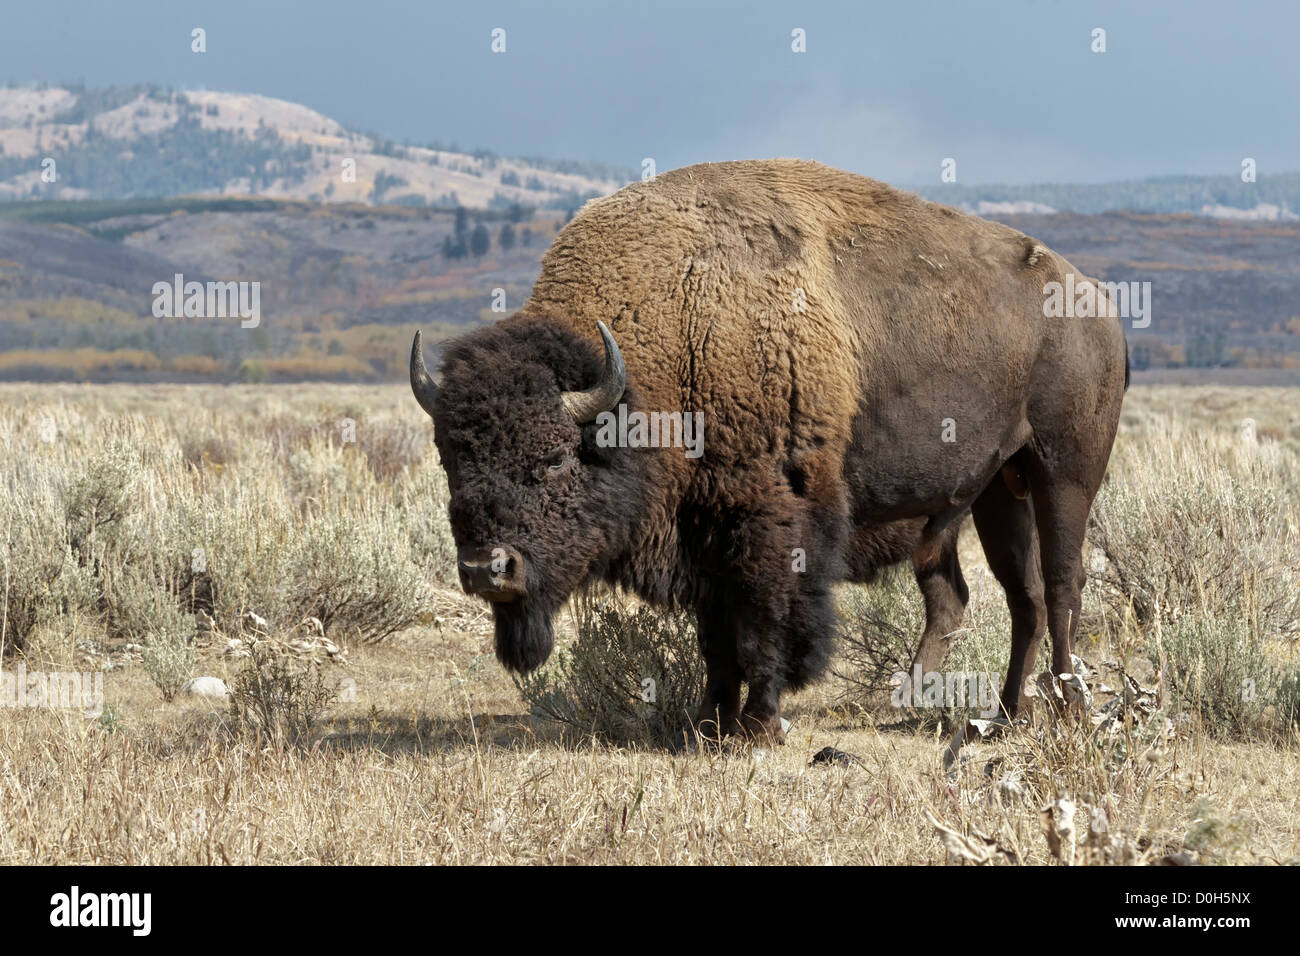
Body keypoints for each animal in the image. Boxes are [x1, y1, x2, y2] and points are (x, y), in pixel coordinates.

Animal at [410, 158, 1123, 738]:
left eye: (555, 458)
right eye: (450, 459)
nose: (485, 570)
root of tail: (1095, 300)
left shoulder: (770, 518)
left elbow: (763, 624)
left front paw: (761, 724)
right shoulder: (702, 531)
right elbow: (716, 638)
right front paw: (708, 723)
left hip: (1063, 475)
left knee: (1061, 584)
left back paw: (1067, 708)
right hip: (996, 490)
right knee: (1003, 596)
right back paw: (988, 712)